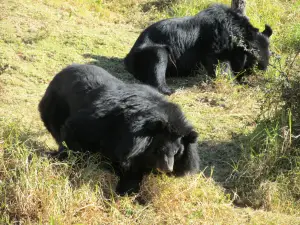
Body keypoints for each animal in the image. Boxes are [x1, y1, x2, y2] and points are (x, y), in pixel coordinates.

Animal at [38, 63, 200, 195]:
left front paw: (127, 189)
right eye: (159, 150)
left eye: (177, 152)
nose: (168, 168)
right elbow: (75, 131)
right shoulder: (100, 123)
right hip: (55, 106)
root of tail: (61, 72)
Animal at [123, 3, 274, 95]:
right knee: (159, 59)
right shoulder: (215, 46)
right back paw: (168, 90)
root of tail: (128, 58)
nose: (263, 68)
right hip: (148, 53)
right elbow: (216, 63)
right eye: (254, 55)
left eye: (270, 54)